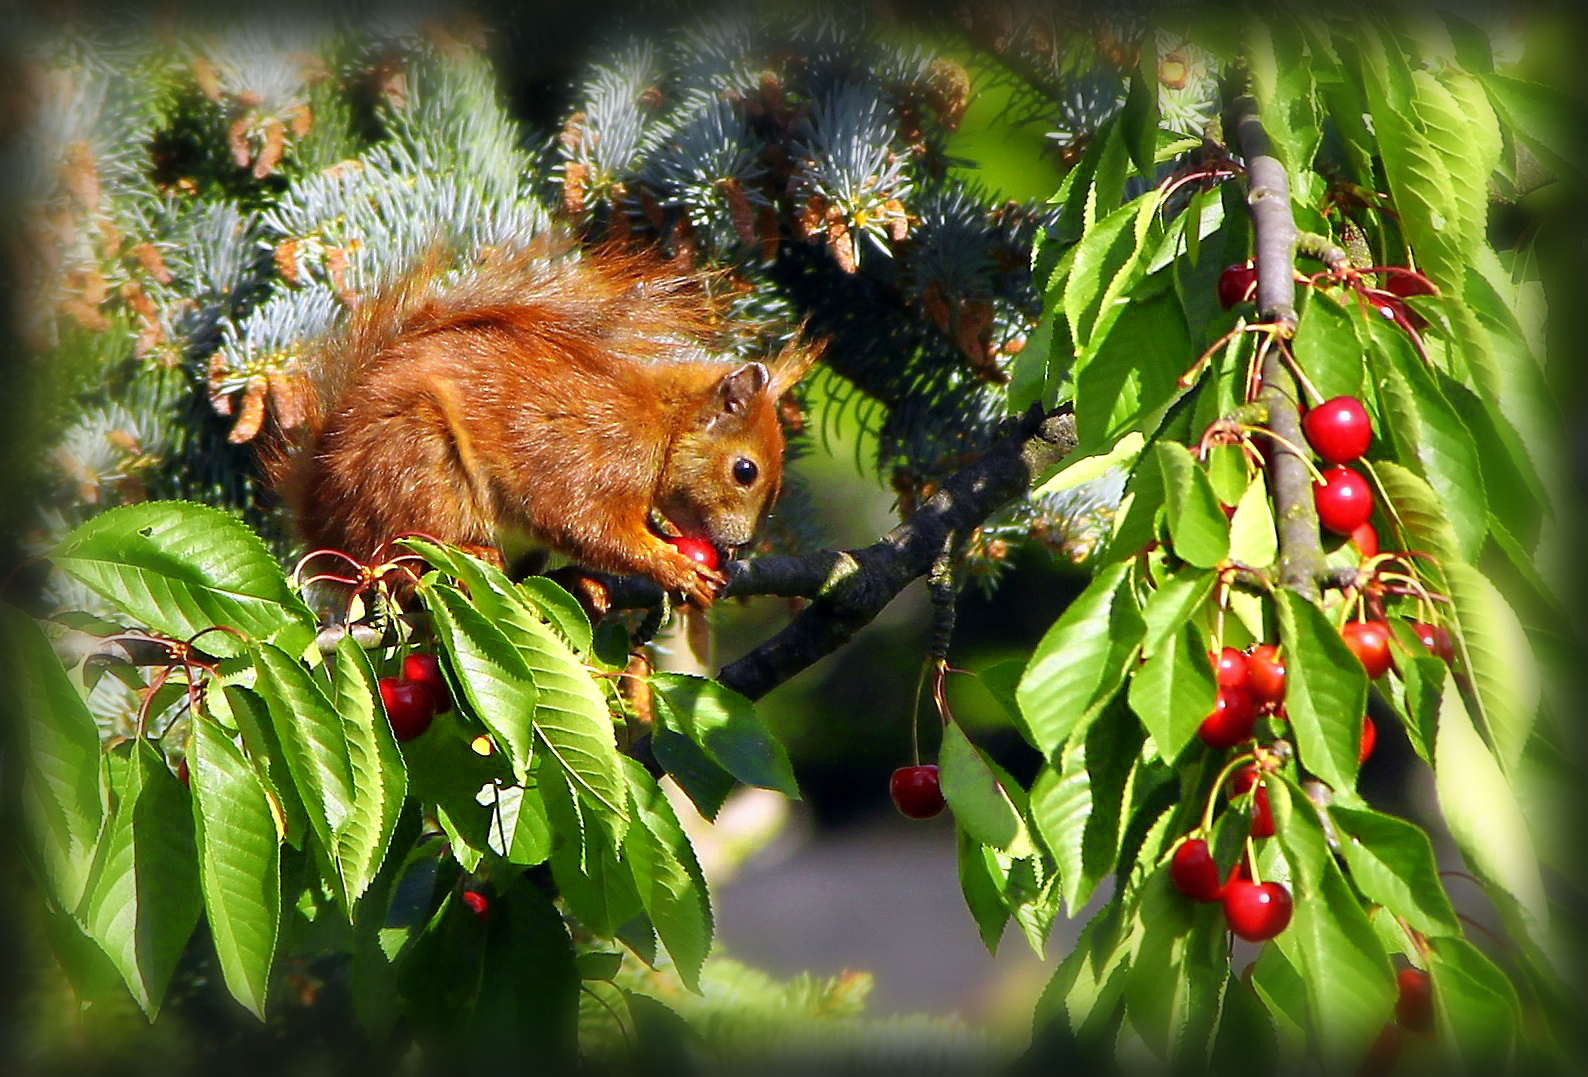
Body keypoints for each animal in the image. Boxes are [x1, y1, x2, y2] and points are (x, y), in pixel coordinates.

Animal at [273, 244, 813, 613]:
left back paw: (579, 584)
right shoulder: (592, 460)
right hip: (416, 465)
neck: (662, 425)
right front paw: (672, 565)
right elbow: (586, 524)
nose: (739, 548)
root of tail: (323, 523)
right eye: (745, 470)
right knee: (397, 559)